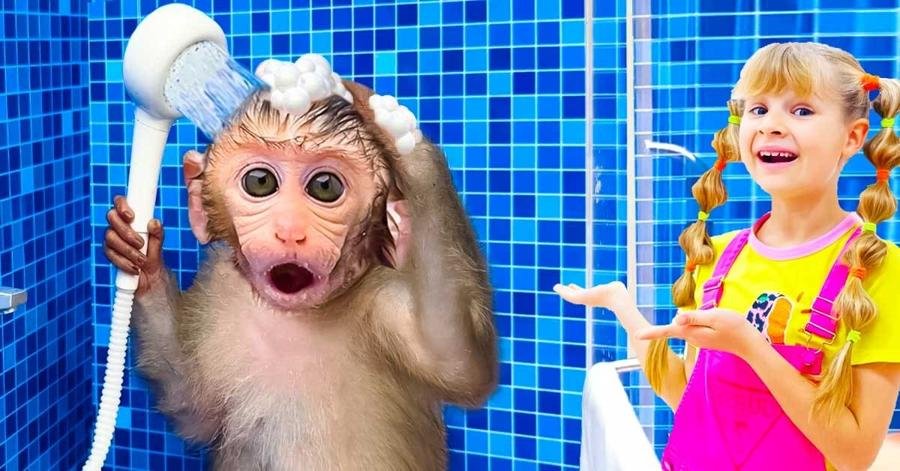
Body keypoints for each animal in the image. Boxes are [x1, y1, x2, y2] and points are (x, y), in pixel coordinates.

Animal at [103, 75, 498, 469]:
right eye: (260, 182)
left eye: (325, 187)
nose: (290, 230)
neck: (295, 315)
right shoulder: (218, 288)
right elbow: (192, 405)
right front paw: (140, 257)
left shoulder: (382, 300)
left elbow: (454, 359)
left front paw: (401, 138)